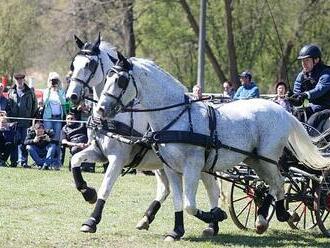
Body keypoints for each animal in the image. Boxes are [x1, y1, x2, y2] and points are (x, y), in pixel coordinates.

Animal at [65, 35, 223, 236]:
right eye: (73, 64)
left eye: (90, 64)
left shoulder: (117, 158)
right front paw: (87, 192)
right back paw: (146, 218)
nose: (72, 96)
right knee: (165, 189)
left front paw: (92, 220)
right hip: (162, 164)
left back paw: (212, 224)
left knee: (212, 189)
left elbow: (106, 187)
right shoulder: (98, 151)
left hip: (201, 166)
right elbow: (75, 160)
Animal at [95, 54, 330, 240]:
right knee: (270, 186)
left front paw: (216, 216)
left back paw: (282, 215)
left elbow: (190, 205)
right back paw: (267, 218)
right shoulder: (171, 169)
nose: (100, 110)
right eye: (107, 77)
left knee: (279, 184)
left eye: (121, 80)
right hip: (254, 160)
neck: (176, 117)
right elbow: (179, 201)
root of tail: (282, 110)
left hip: (268, 158)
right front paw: (177, 231)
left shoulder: (192, 167)